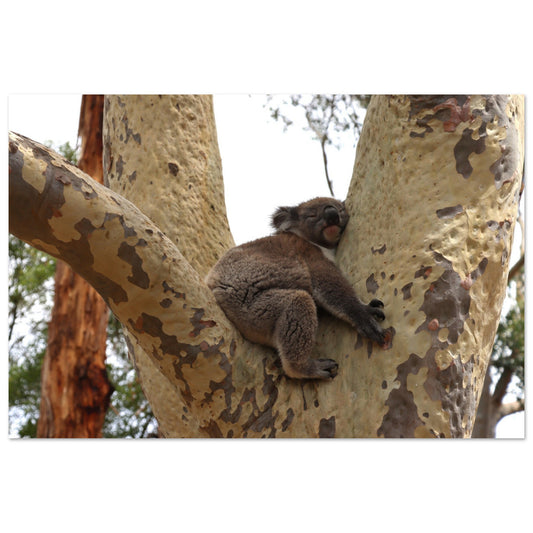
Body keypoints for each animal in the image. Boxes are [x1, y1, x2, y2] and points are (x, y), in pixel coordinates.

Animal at [205, 197, 386, 380]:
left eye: (340, 209)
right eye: (312, 215)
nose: (332, 216)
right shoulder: (310, 256)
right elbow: (331, 286)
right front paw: (367, 314)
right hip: (253, 307)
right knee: (298, 304)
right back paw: (312, 368)